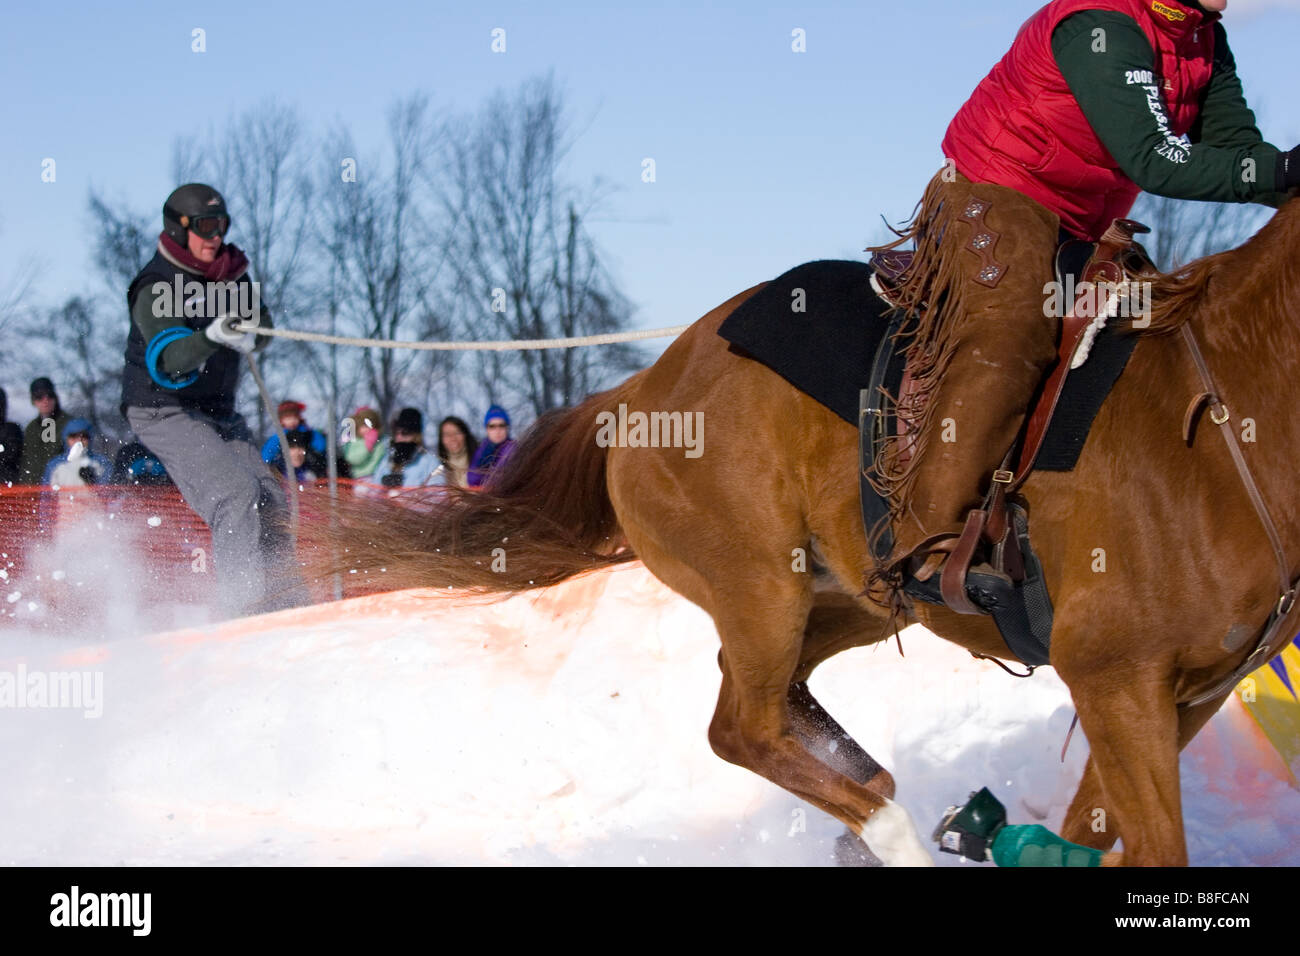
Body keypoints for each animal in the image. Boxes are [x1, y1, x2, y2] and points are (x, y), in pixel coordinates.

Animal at [312, 196, 1300, 868]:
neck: (1219, 424)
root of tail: (638, 391)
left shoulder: (1185, 695)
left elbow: (1093, 831)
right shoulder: (1114, 677)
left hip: (850, 600)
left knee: (773, 702)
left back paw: (885, 805)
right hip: (762, 585)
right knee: (740, 729)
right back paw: (893, 833)